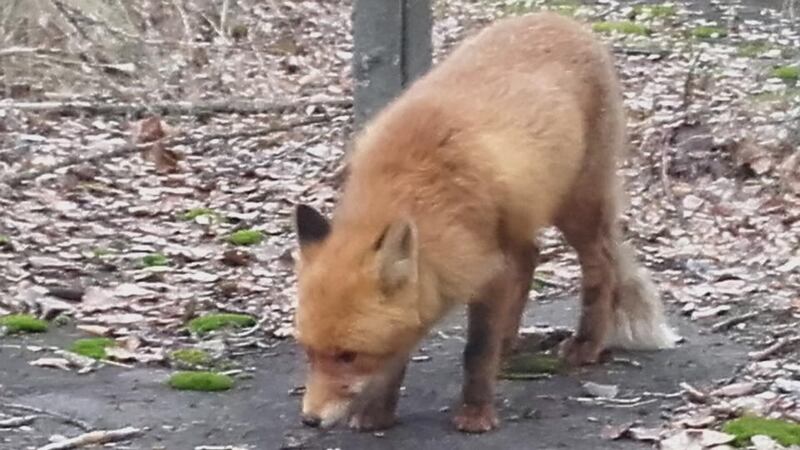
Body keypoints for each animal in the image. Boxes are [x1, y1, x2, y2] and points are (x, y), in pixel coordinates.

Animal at [292, 12, 678, 434]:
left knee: (601, 265)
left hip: (576, 207)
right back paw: (508, 344)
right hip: (525, 218)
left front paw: (476, 413)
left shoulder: (489, 271)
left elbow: (475, 351)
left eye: (348, 355)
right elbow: (400, 353)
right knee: (532, 256)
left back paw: (585, 344)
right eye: (308, 352)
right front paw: (379, 412)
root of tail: (563, 19)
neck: (415, 186)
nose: (310, 420)